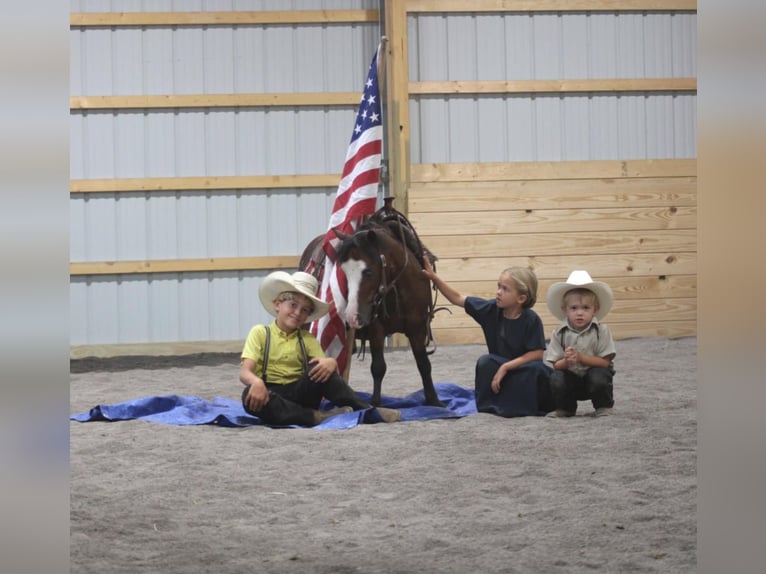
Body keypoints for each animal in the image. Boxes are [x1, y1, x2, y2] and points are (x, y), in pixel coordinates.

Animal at [298, 202, 448, 410]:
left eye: (368, 271)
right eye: (343, 271)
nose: (352, 315)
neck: (398, 293)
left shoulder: (417, 328)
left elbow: (423, 363)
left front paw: (434, 400)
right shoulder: (377, 329)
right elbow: (378, 367)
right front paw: (376, 404)